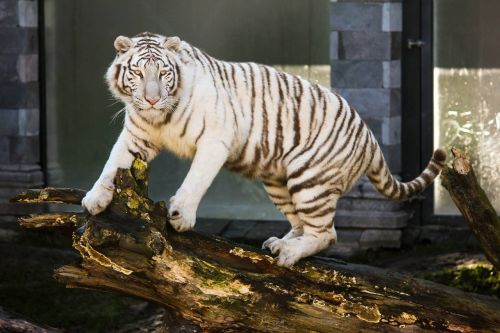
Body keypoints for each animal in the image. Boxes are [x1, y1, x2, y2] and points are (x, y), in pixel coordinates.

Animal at [82, 33, 446, 268]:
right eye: (137, 72)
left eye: (163, 72)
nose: (152, 99)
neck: (159, 117)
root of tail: (371, 138)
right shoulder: (135, 136)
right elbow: (111, 165)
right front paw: (94, 199)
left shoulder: (215, 138)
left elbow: (195, 180)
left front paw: (180, 215)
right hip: (278, 183)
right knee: (304, 225)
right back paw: (281, 243)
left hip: (310, 179)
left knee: (327, 233)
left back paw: (289, 254)